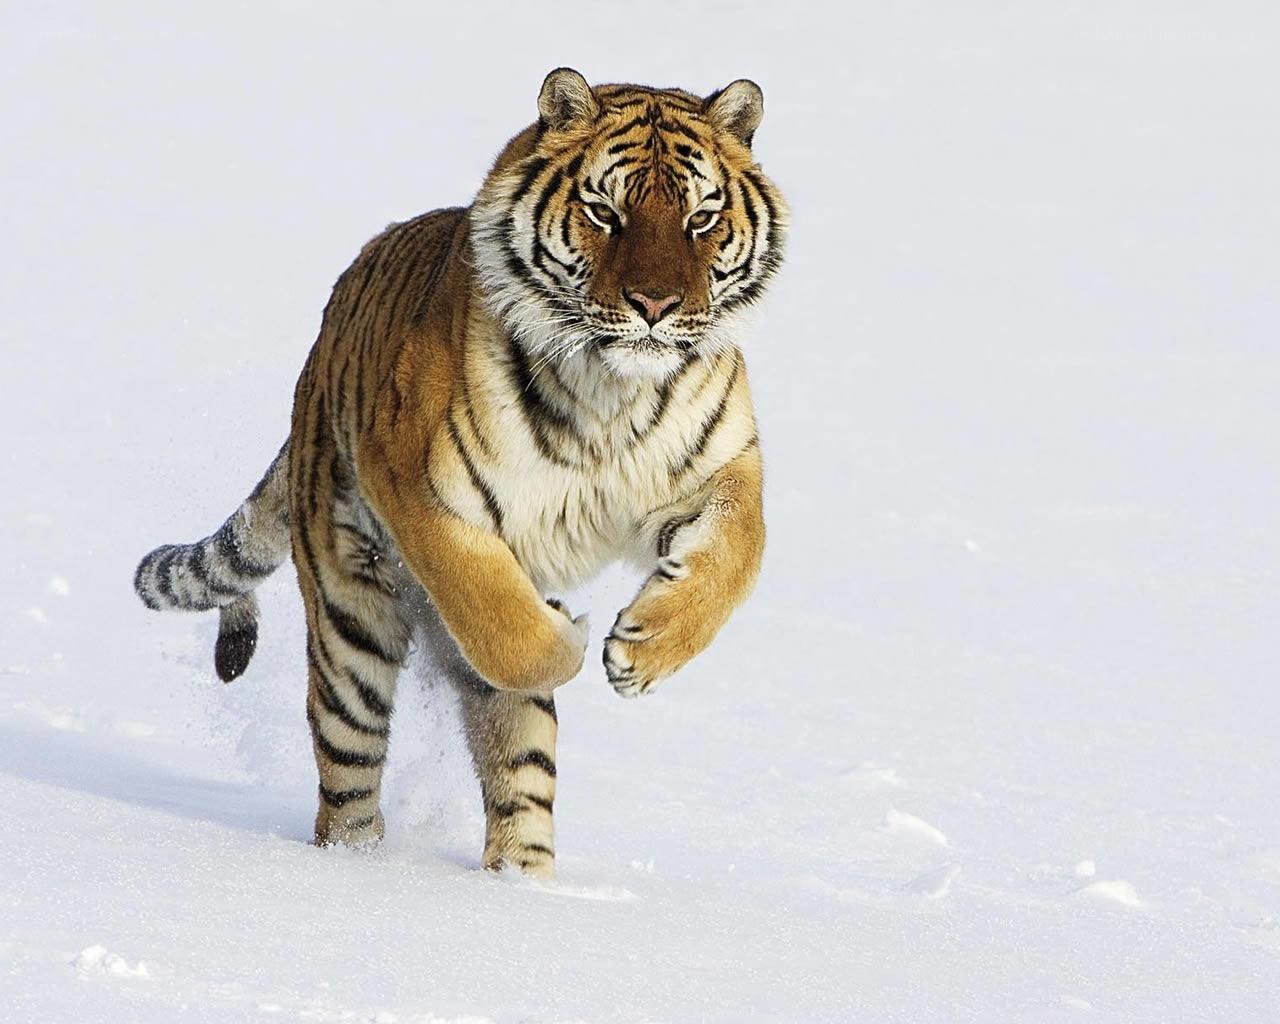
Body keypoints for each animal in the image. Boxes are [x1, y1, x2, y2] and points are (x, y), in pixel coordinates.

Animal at [134, 68, 787, 877]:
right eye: (605, 212)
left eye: (701, 218)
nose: (656, 306)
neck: (612, 391)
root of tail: (313, 379)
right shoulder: (419, 488)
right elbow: (501, 622)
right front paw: (568, 637)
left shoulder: (720, 472)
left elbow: (733, 559)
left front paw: (642, 650)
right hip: (350, 621)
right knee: (348, 777)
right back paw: (354, 867)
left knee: (518, 771)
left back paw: (523, 885)